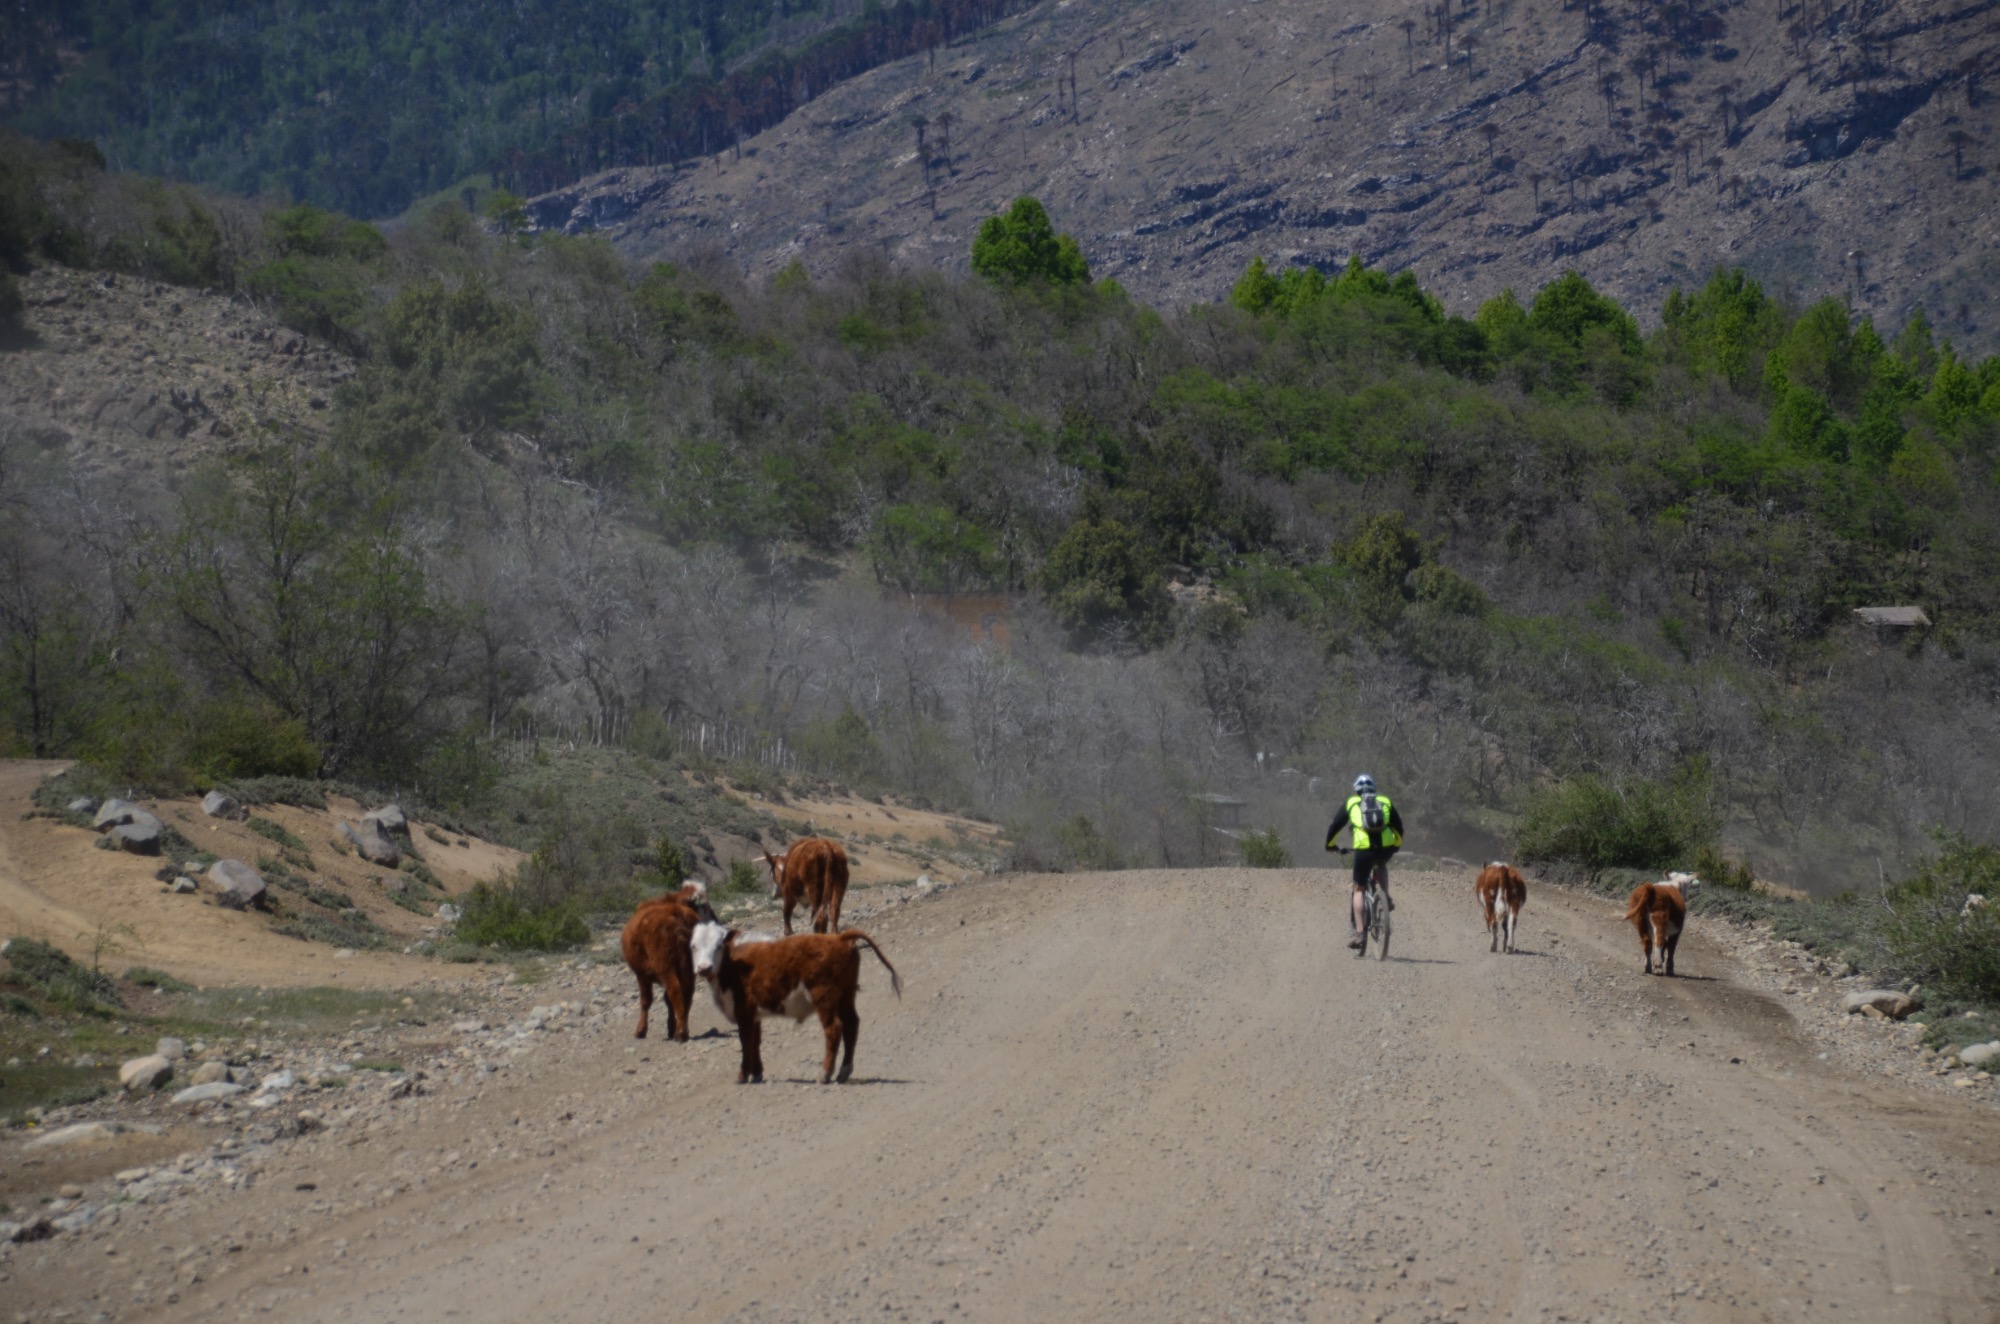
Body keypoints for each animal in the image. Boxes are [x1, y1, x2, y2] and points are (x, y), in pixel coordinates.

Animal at [620, 882, 717, 1041]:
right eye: (705, 907)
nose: (716, 922)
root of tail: (675, 913)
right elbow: (667, 1000)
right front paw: (671, 1026)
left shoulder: (641, 974)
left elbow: (646, 1001)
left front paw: (641, 1030)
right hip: (686, 965)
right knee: (687, 992)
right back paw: (682, 1029)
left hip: (665, 965)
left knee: (676, 990)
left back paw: (681, 1033)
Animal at [689, 920, 901, 1084]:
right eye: (693, 946)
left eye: (719, 945)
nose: (704, 968)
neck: (733, 965)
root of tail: (838, 938)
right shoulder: (754, 1015)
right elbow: (755, 1042)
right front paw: (757, 1074)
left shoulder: (744, 1012)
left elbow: (746, 1042)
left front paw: (742, 1076)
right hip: (846, 996)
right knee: (851, 1025)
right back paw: (843, 1072)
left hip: (824, 997)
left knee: (834, 1029)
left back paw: (824, 1074)